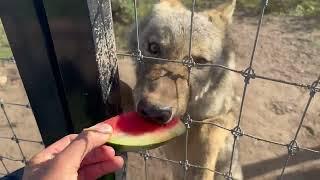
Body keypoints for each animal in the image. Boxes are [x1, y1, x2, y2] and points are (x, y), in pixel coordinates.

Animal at [121, 0, 244, 179]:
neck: (188, 115)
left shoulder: (225, 115)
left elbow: (207, 135)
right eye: (154, 48)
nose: (153, 111)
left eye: (199, 61)